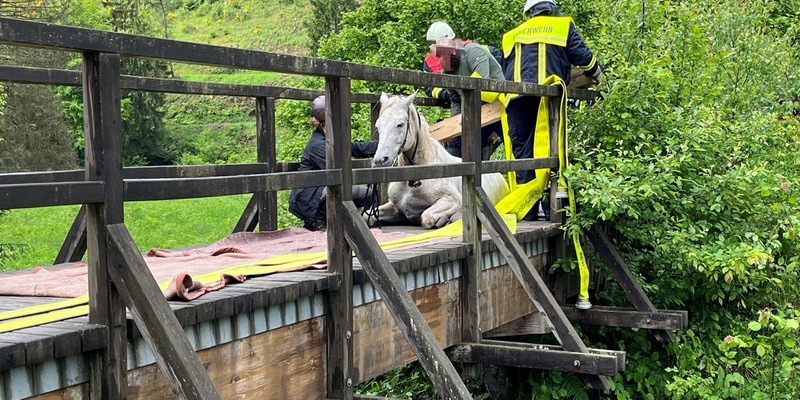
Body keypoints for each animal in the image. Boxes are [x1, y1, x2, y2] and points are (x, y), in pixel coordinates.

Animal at [371, 92, 510, 228]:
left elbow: (426, 217)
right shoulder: (394, 207)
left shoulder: (451, 200)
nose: (380, 160)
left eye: (400, 124)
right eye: (378, 125)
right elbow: (369, 216)